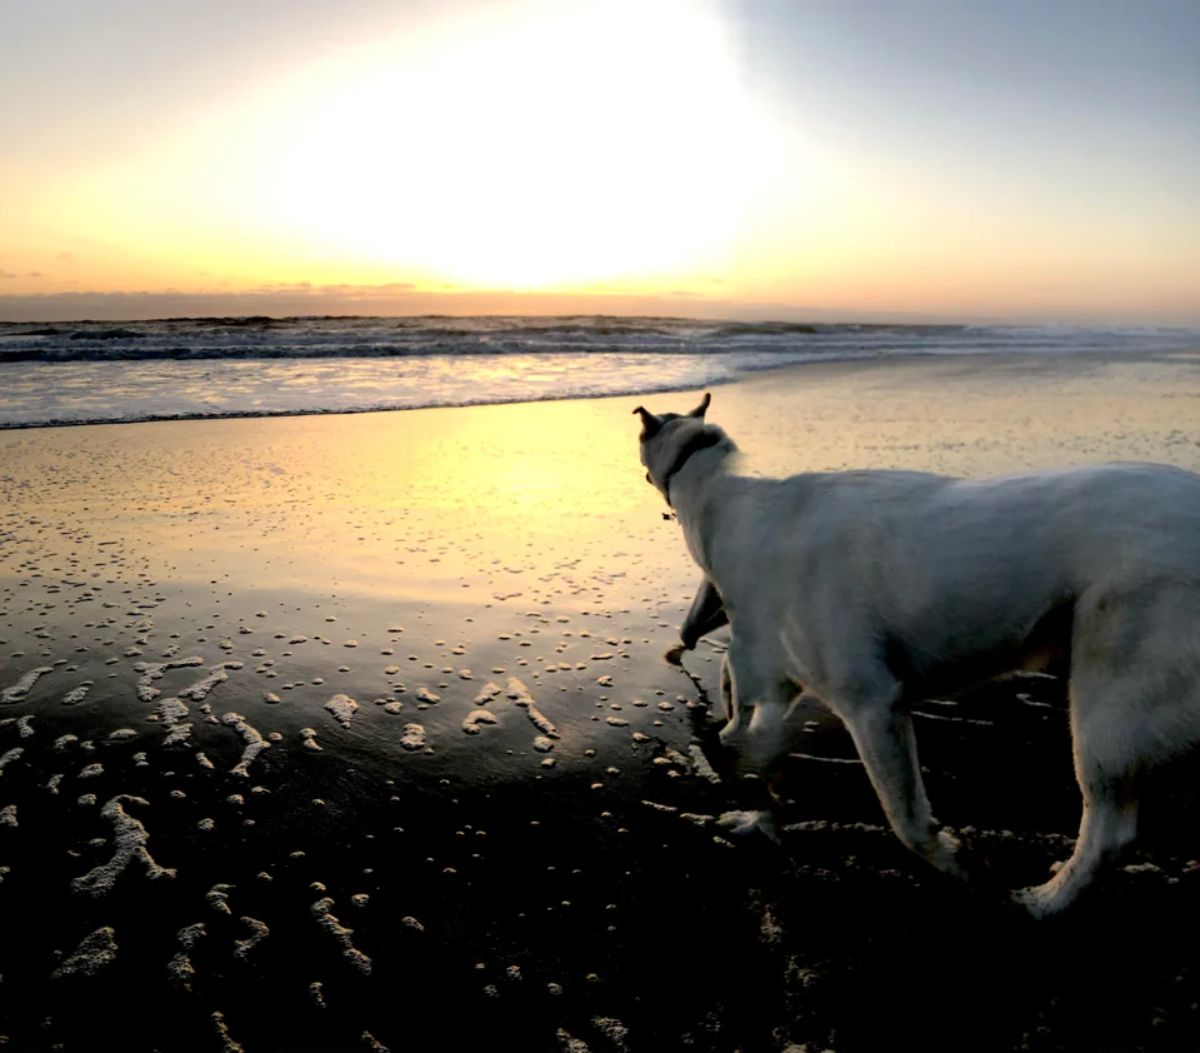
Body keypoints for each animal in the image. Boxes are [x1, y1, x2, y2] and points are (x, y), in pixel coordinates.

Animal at [633, 390, 1200, 921]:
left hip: (1108, 711)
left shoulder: (871, 704)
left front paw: (957, 862)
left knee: (1109, 834)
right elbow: (738, 718)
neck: (724, 496)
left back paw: (1044, 901)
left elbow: (905, 819)